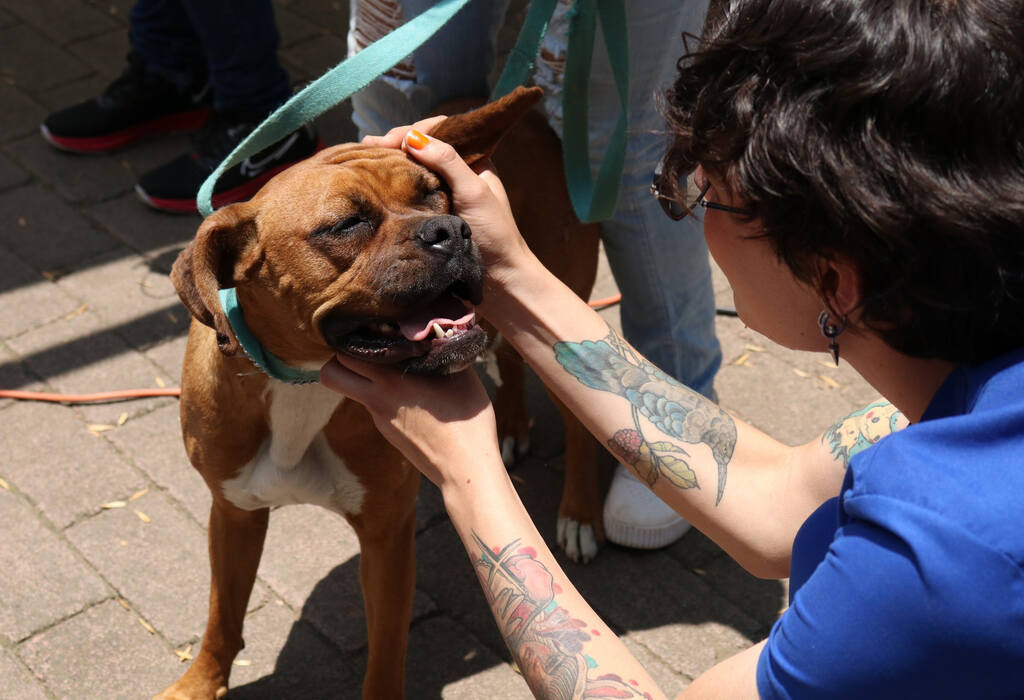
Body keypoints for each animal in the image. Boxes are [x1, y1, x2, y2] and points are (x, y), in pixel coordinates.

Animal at [157, 87, 598, 700]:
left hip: (556, 325)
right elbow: (223, 614)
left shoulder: (387, 537)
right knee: (508, 358)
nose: (450, 229)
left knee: (580, 425)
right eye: (346, 224)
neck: (302, 382)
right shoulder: (234, 513)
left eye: (436, 192)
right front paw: (200, 682)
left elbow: (386, 648)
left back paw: (580, 513)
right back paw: (510, 427)